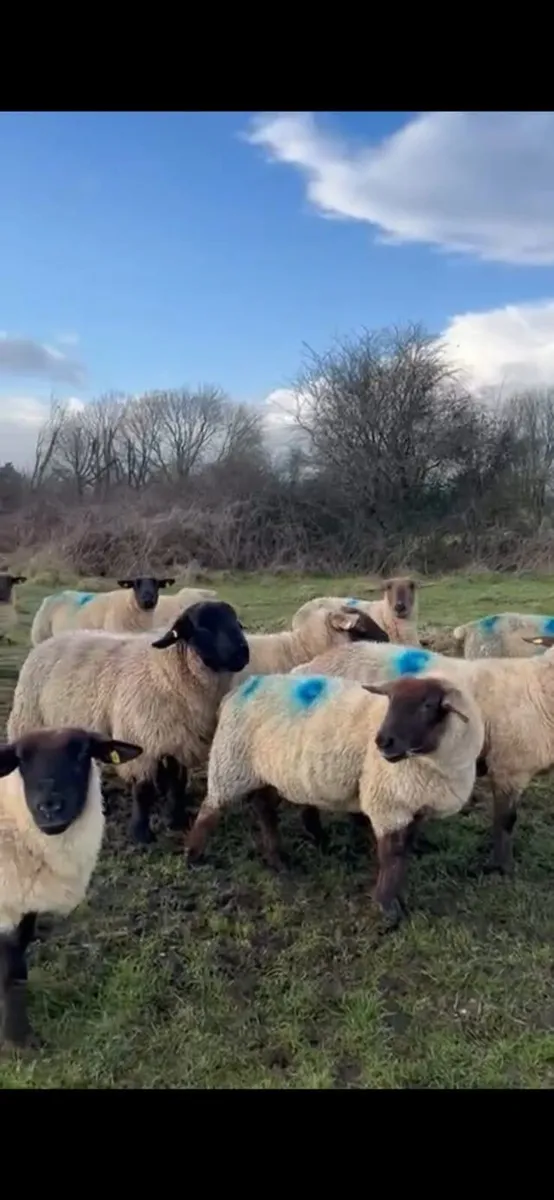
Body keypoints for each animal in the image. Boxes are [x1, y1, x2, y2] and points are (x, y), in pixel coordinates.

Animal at [0, 726, 143, 1047]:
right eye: (21, 760)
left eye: (82, 753)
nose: (49, 807)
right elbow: (8, 967)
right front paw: (18, 1039)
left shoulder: (24, 904)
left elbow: (19, 958)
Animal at [9, 600, 250, 847]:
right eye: (203, 627)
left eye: (236, 623)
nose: (243, 653)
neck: (166, 670)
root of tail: (49, 642)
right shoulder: (138, 738)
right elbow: (143, 791)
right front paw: (140, 833)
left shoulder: (175, 738)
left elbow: (176, 784)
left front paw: (176, 820)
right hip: (30, 719)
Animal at [184, 671, 484, 929]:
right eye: (391, 700)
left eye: (428, 705)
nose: (383, 741)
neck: (431, 763)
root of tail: (241, 688)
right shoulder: (387, 803)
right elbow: (391, 855)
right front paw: (386, 905)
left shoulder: (415, 806)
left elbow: (403, 852)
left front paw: (397, 898)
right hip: (231, 763)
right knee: (210, 809)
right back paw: (193, 856)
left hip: (266, 770)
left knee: (264, 810)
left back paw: (277, 860)